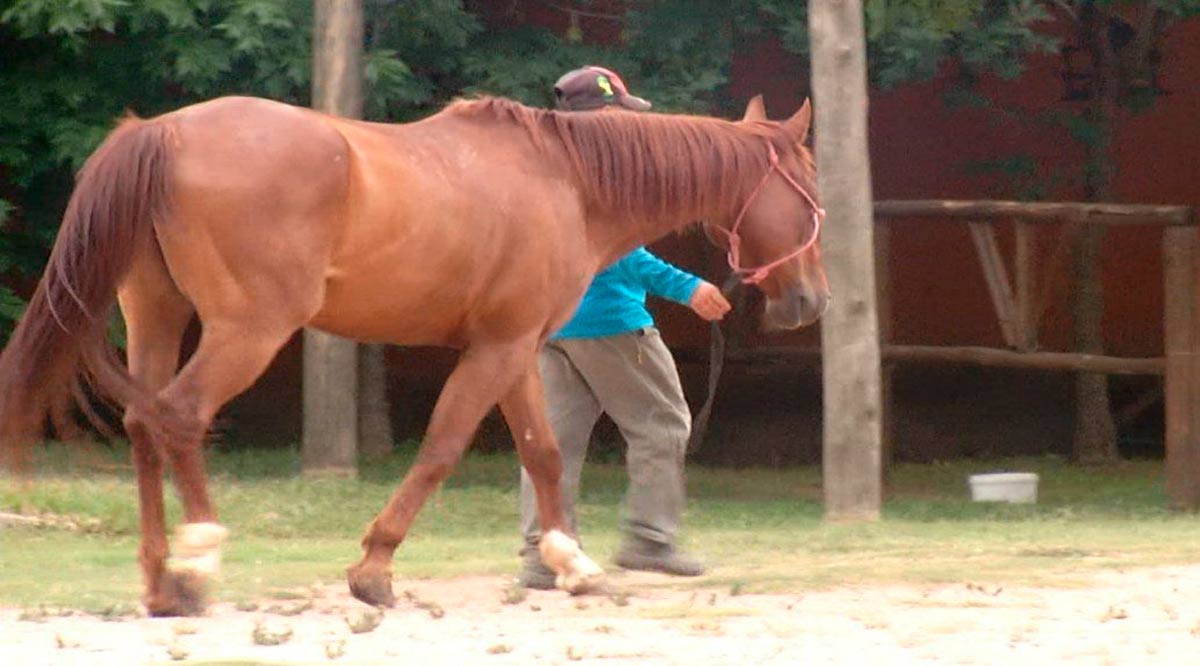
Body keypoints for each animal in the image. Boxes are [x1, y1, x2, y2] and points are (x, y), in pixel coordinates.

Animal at [0, 91, 825, 619]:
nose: (811, 301)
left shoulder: (516, 349)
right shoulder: (495, 351)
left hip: (156, 318)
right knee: (178, 417)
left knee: (143, 428)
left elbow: (543, 452)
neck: (566, 179)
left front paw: (570, 563)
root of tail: (161, 132)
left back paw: (160, 582)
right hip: (247, 331)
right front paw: (373, 569)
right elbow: (441, 449)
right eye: (809, 180)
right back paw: (199, 559)